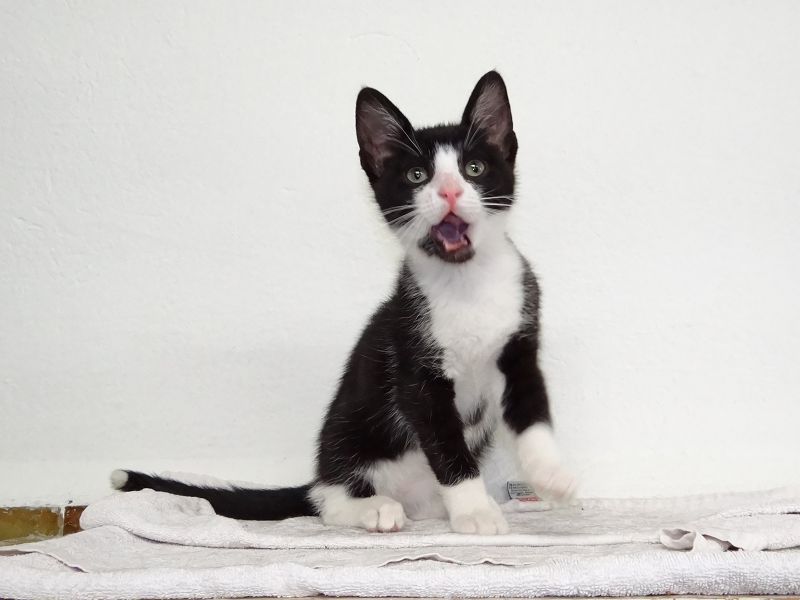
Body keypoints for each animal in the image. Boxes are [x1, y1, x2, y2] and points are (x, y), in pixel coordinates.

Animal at [112, 71, 577, 535]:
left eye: (473, 168)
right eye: (417, 175)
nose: (447, 192)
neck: (467, 285)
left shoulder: (519, 343)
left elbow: (532, 412)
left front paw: (550, 475)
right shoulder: (414, 368)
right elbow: (447, 446)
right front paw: (474, 510)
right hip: (347, 436)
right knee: (327, 498)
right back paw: (373, 508)